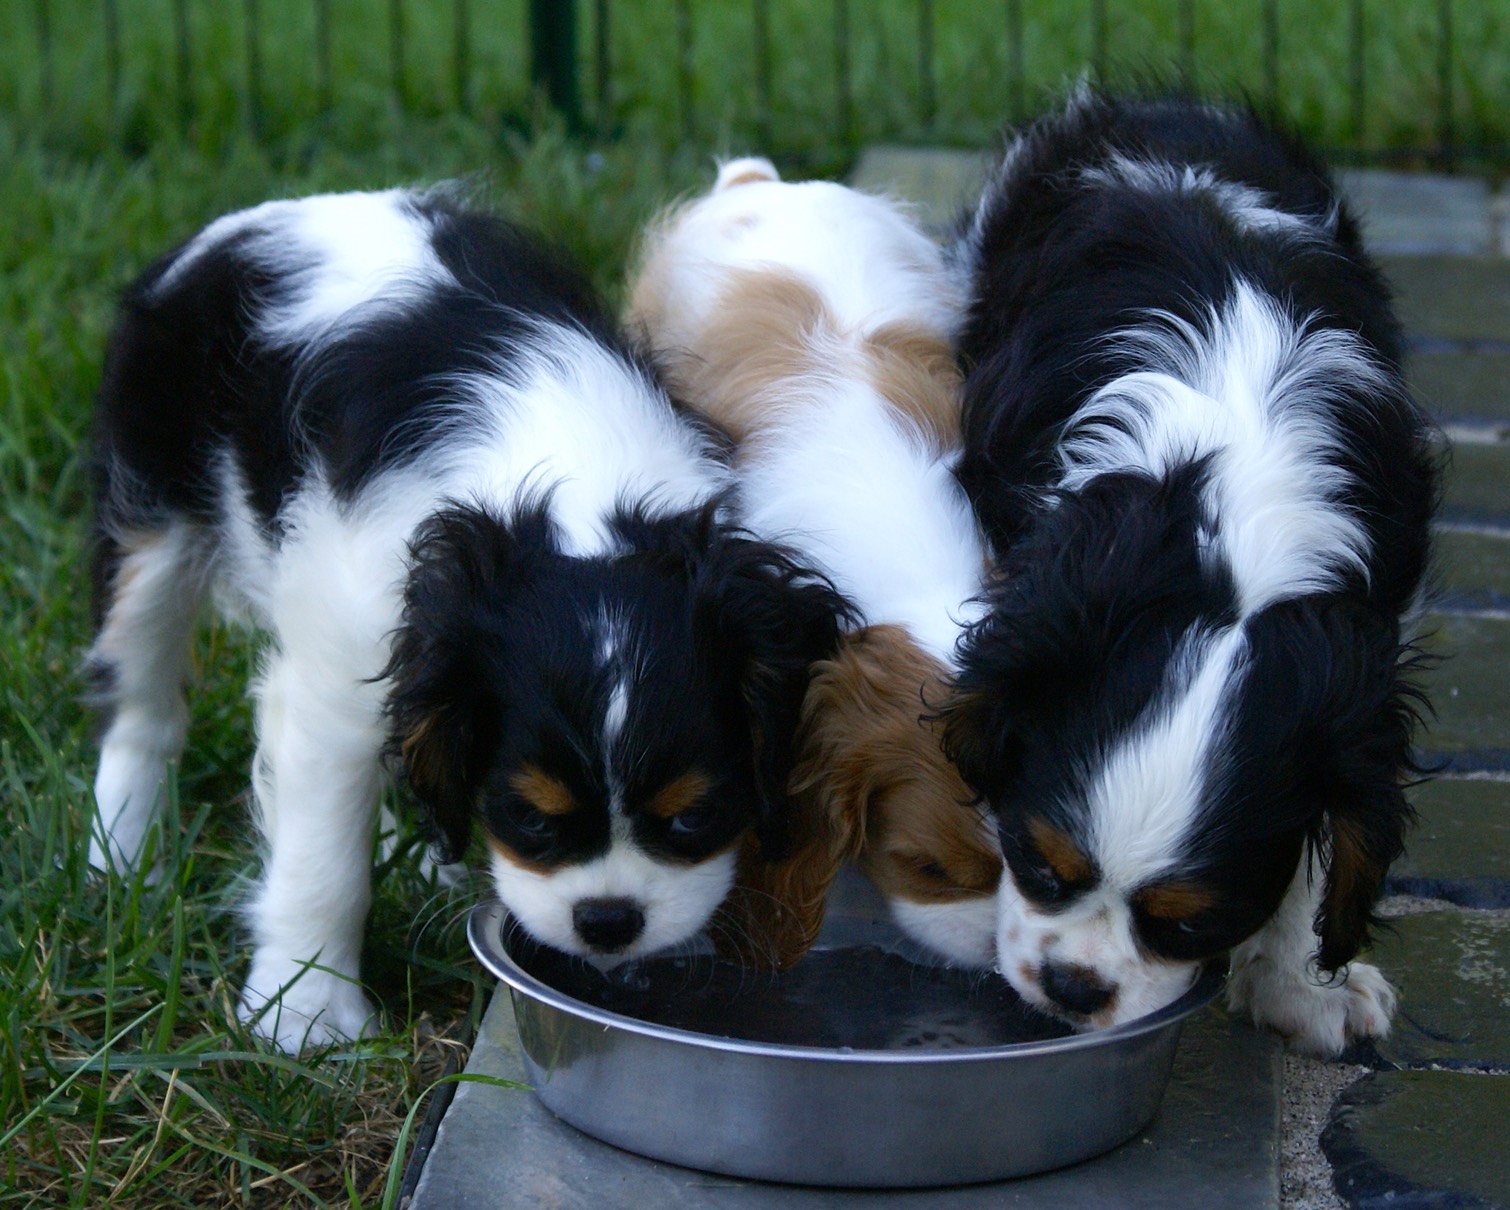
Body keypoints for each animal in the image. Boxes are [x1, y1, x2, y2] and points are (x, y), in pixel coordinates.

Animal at [85, 186, 851, 1045]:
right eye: (527, 816)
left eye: (694, 819)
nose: (609, 921)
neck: (576, 501)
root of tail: (238, 224)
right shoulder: (343, 669)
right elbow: (322, 857)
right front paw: (307, 1013)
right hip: (149, 513)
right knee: (141, 701)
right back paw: (124, 860)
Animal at [942, 92, 1437, 1057]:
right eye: (1038, 863)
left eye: (1189, 924)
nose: (1073, 986)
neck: (1239, 553)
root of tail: (1160, 108)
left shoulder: (1362, 653)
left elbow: (1320, 846)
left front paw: (1299, 982)